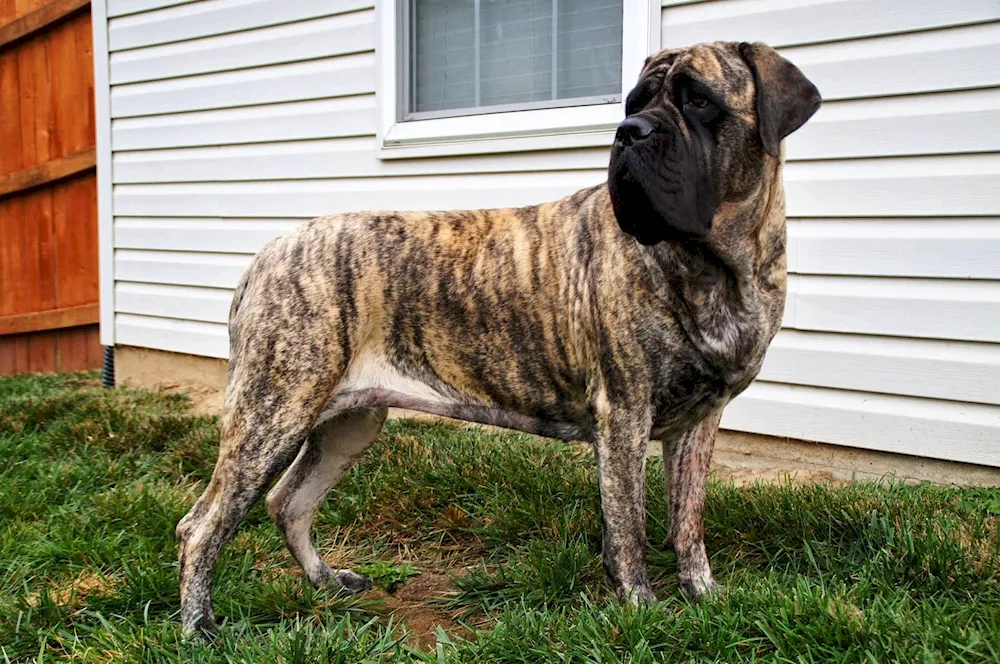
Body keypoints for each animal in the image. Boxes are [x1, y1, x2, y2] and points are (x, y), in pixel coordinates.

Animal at [178, 39, 820, 636]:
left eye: (699, 100)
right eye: (635, 103)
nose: (628, 132)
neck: (713, 265)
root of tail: (267, 253)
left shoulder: (698, 422)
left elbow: (688, 521)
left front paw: (704, 595)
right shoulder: (625, 414)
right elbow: (629, 527)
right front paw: (640, 608)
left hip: (348, 424)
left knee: (288, 502)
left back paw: (326, 581)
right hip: (274, 412)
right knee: (202, 524)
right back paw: (197, 625)